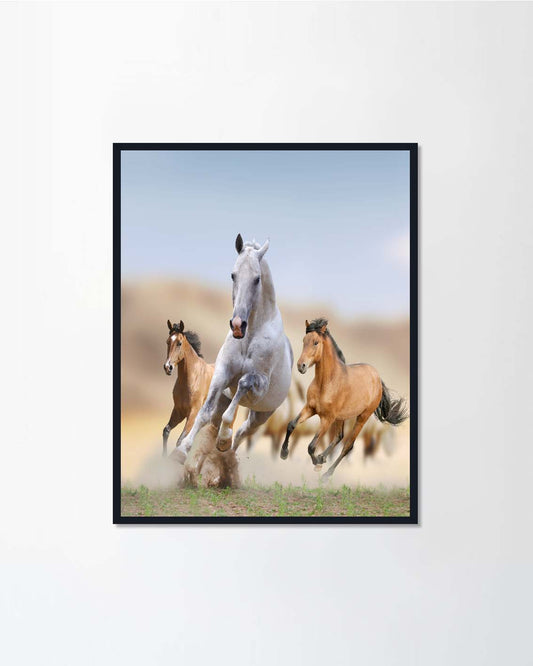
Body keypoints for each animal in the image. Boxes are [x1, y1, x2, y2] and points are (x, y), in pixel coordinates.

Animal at [162, 319, 214, 456]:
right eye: (167, 342)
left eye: (179, 343)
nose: (167, 367)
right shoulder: (179, 411)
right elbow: (166, 431)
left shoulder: (193, 413)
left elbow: (181, 440)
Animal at [172, 234, 293, 463]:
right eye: (233, 275)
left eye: (257, 278)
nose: (237, 325)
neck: (249, 337)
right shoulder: (222, 374)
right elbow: (204, 413)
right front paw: (182, 450)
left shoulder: (258, 384)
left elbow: (242, 387)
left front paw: (223, 439)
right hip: (226, 399)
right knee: (218, 420)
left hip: (261, 414)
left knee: (243, 432)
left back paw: (226, 452)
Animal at [280, 318, 408, 479]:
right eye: (304, 340)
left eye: (316, 342)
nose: (300, 366)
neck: (326, 382)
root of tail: (377, 378)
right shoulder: (310, 408)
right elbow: (291, 424)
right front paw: (284, 453)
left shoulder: (327, 418)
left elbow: (311, 446)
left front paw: (316, 462)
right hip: (341, 417)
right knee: (339, 436)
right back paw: (323, 458)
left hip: (362, 418)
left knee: (348, 445)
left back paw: (326, 474)